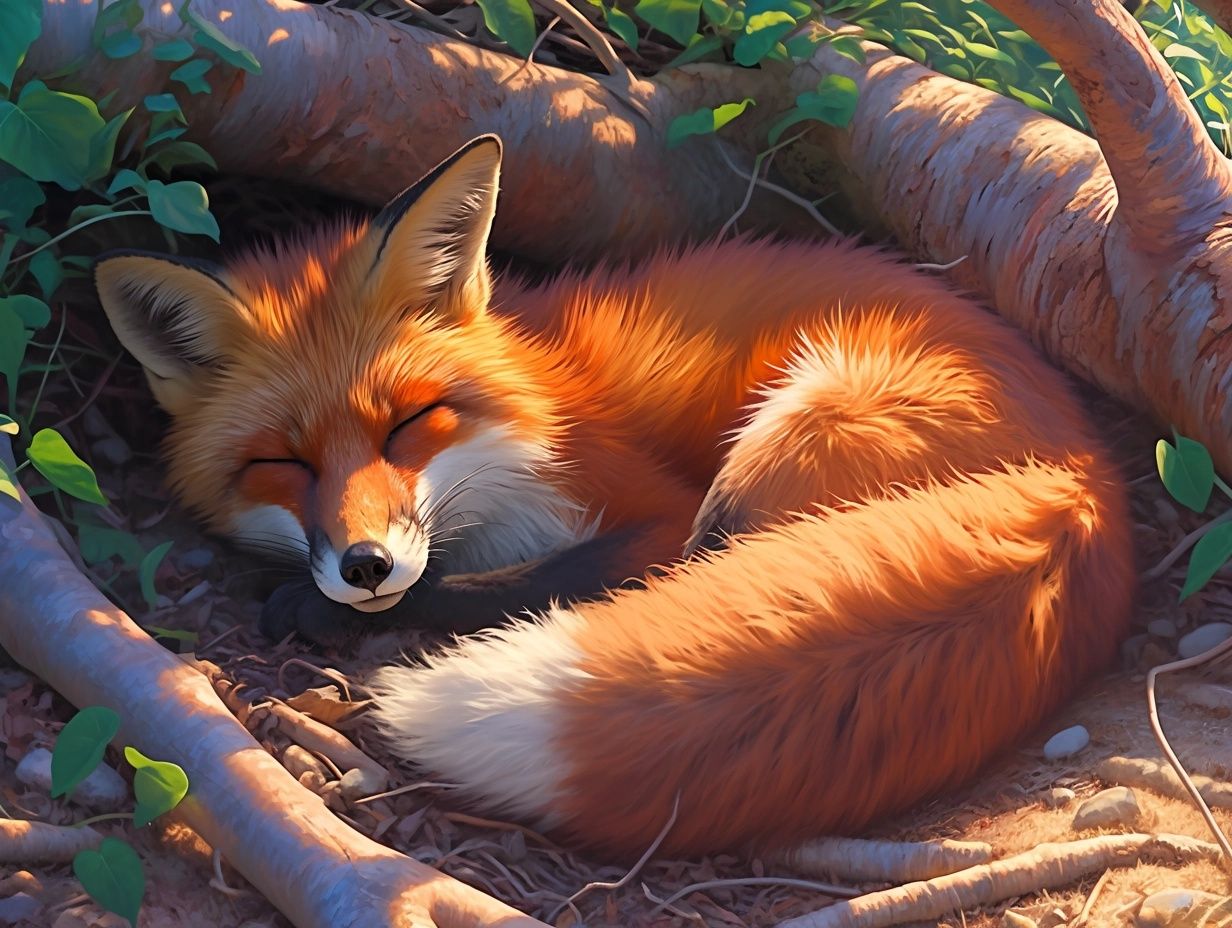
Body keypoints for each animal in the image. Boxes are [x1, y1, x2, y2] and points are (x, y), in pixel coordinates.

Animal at [94, 135, 1135, 859]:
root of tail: (1086, 479)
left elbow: (529, 578)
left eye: (408, 423)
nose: (365, 565)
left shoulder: (647, 507)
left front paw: (336, 610)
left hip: (791, 432)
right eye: (285, 464)